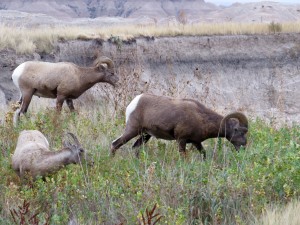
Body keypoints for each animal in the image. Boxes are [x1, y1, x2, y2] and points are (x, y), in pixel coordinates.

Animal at [110, 92, 248, 156]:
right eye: (240, 132)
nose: (244, 146)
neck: (200, 117)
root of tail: (134, 102)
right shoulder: (181, 140)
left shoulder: (196, 142)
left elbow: (203, 154)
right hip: (133, 130)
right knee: (115, 144)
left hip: (145, 135)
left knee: (135, 148)